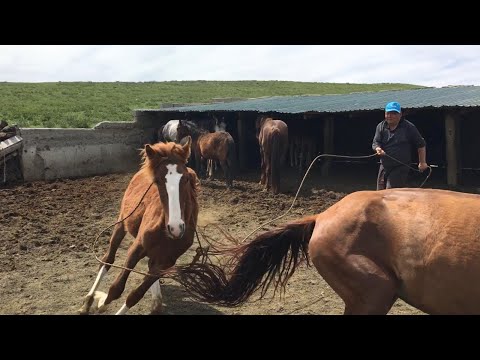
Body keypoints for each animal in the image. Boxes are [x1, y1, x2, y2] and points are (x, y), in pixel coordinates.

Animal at [79, 136, 199, 314]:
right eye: (157, 181)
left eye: (185, 179)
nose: (176, 228)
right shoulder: (136, 248)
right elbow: (116, 289)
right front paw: (100, 301)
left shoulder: (166, 262)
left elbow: (135, 295)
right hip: (121, 223)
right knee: (107, 259)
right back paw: (88, 300)